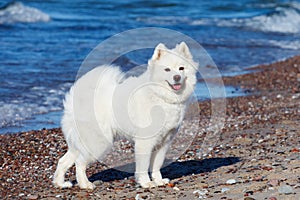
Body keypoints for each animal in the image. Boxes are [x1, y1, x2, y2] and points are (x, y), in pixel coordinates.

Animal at [53, 41, 199, 189]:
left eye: (181, 68)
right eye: (167, 70)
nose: (177, 77)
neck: (160, 96)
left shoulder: (164, 142)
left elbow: (156, 165)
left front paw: (158, 181)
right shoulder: (145, 142)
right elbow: (143, 166)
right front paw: (146, 182)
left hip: (81, 142)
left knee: (63, 161)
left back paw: (60, 183)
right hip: (98, 142)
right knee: (79, 163)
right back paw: (85, 184)